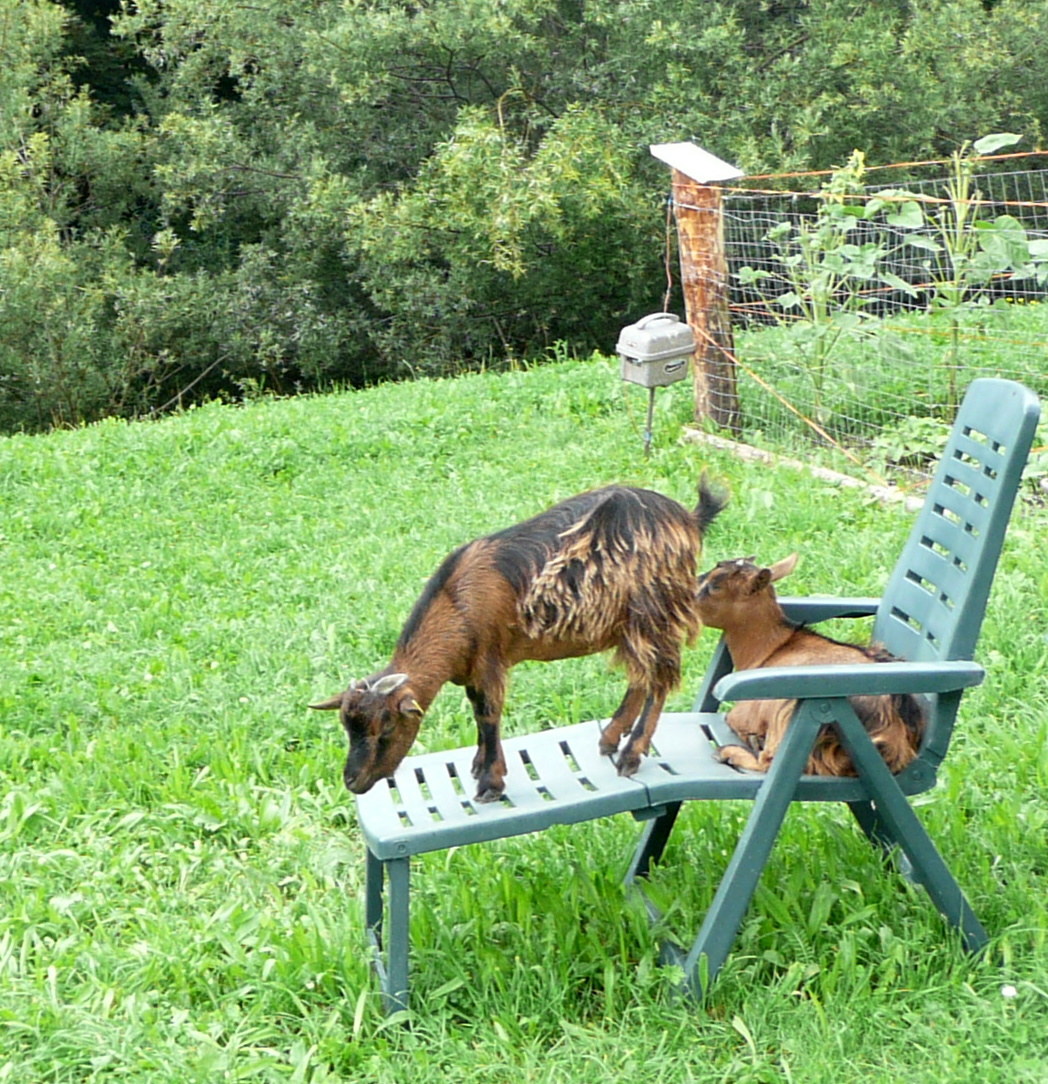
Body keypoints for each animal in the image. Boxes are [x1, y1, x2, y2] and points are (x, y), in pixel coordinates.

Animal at [311, 477, 727, 802]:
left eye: (386, 728)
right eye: (347, 727)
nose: (353, 781)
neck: (457, 604)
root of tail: (688, 519)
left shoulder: (490, 661)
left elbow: (488, 714)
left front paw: (490, 782)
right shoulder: (474, 670)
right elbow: (478, 712)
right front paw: (479, 765)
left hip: (654, 614)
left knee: (659, 680)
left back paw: (630, 754)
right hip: (632, 625)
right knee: (641, 676)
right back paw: (610, 738)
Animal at [695, 554, 925, 776]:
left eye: (715, 586)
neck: (772, 648)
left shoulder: (745, 714)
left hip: (786, 713)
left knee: (767, 761)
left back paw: (730, 751)